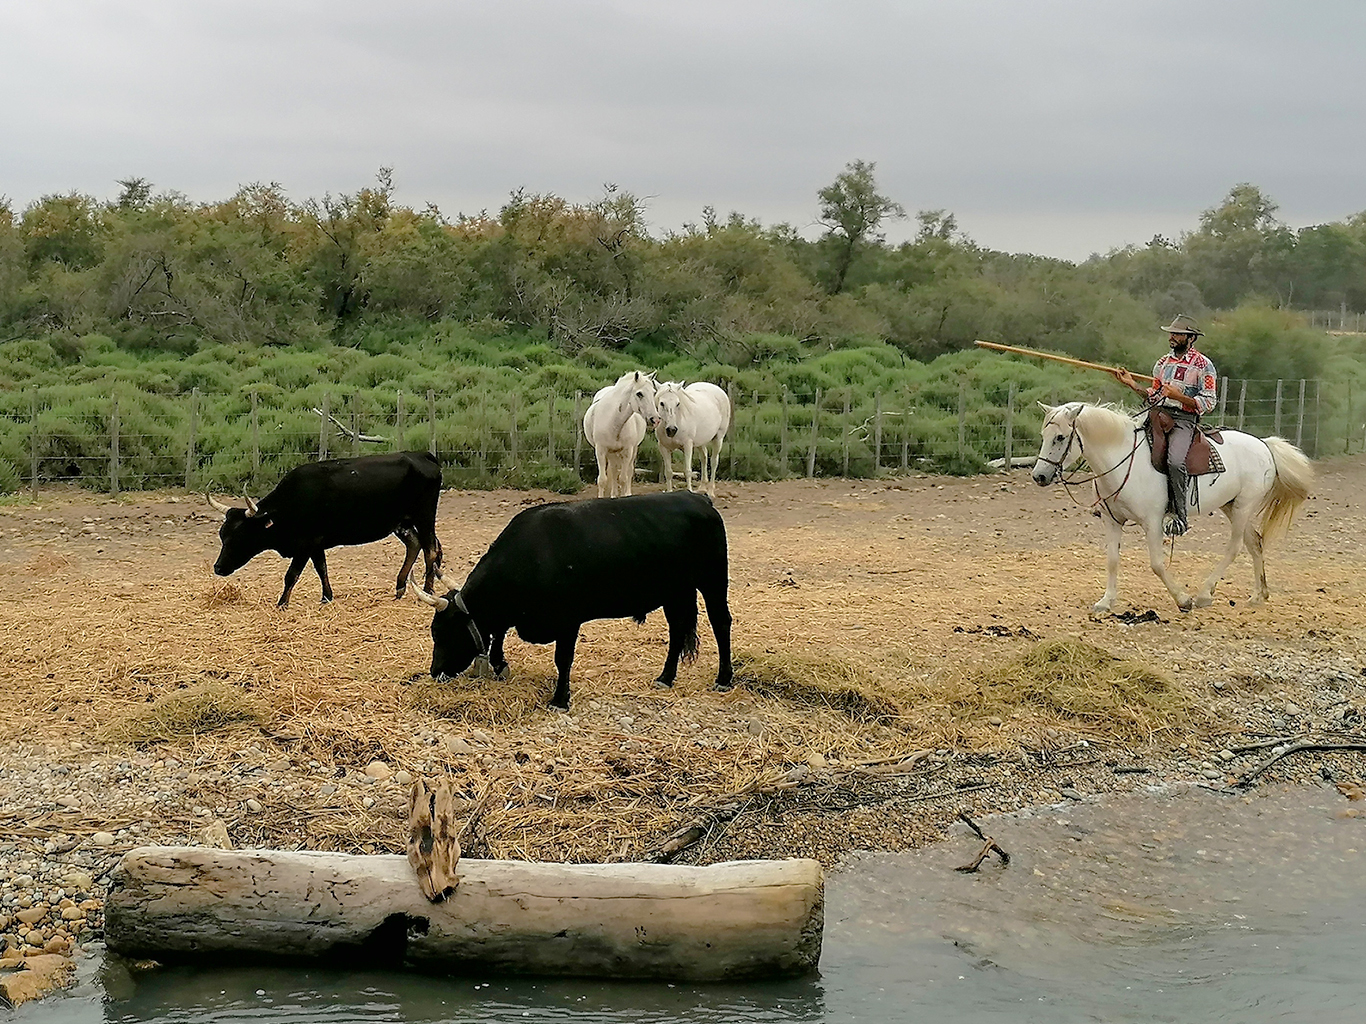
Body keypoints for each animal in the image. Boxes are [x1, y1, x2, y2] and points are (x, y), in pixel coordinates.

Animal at [207, 450, 442, 608]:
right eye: (222, 535)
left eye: (240, 536)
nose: (218, 567)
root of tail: (421, 455)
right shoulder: (316, 543)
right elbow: (322, 569)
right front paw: (326, 597)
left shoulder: (305, 544)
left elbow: (291, 574)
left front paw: (282, 603)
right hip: (402, 523)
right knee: (415, 544)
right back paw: (400, 586)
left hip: (424, 516)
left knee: (430, 550)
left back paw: (427, 590)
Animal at [415, 494, 737, 709]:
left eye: (441, 633)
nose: (435, 672)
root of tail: (697, 498)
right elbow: (498, 635)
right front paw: (500, 665)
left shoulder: (568, 620)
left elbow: (563, 659)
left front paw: (560, 699)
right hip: (674, 591)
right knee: (678, 629)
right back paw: (666, 677)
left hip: (712, 580)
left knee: (721, 622)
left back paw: (723, 678)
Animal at [579, 371, 658, 499]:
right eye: (639, 394)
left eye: (654, 392)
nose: (655, 420)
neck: (613, 421)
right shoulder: (600, 451)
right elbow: (602, 480)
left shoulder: (627, 451)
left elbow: (623, 479)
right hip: (612, 453)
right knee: (614, 470)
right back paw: (613, 495)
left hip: (633, 450)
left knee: (628, 472)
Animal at [1032, 404, 1311, 617]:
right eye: (1044, 436)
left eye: (1059, 437)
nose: (1039, 476)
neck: (1123, 458)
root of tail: (1264, 445)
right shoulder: (1112, 521)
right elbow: (1112, 560)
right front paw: (1106, 601)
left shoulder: (1152, 522)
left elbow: (1157, 564)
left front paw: (1183, 600)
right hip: (1231, 506)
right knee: (1255, 543)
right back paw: (1258, 595)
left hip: (1244, 506)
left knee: (1235, 548)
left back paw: (1204, 594)